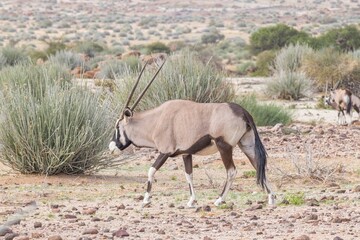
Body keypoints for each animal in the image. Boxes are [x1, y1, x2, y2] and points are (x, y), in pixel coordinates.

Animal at [108, 61, 274, 207]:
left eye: (117, 126)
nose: (111, 148)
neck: (156, 121)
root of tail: (244, 112)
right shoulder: (186, 153)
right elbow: (189, 175)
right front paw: (192, 201)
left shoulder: (165, 152)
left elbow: (151, 170)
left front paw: (146, 200)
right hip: (246, 144)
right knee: (258, 165)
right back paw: (271, 198)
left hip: (224, 146)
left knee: (232, 171)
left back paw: (219, 200)